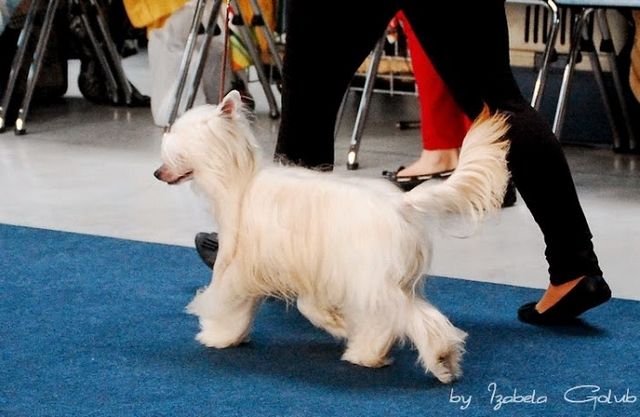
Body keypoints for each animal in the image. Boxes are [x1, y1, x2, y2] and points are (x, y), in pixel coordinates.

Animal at [154, 90, 510, 383]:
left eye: (179, 151)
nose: (157, 173)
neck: (238, 181)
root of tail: (402, 204)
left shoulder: (241, 269)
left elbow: (231, 302)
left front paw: (218, 335)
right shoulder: (310, 272)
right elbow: (309, 305)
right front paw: (336, 322)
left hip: (375, 280)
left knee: (415, 319)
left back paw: (440, 360)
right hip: (378, 282)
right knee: (385, 321)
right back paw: (367, 354)